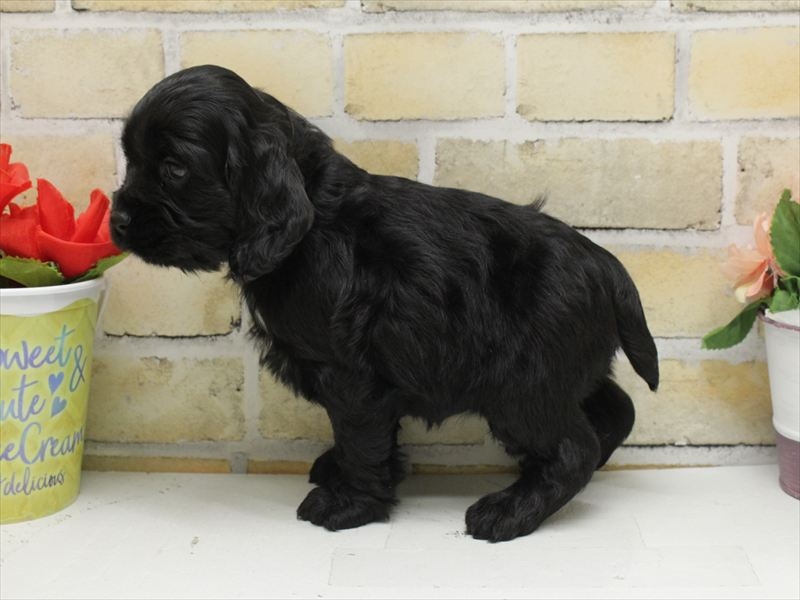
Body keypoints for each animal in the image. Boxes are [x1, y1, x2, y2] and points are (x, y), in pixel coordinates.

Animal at [111, 65, 658, 542]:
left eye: (174, 168)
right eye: (131, 160)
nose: (116, 221)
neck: (310, 224)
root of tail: (607, 266)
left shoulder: (352, 376)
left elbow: (360, 437)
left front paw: (347, 503)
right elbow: (363, 437)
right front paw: (341, 472)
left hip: (522, 387)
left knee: (574, 447)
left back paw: (509, 510)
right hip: (564, 372)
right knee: (615, 411)